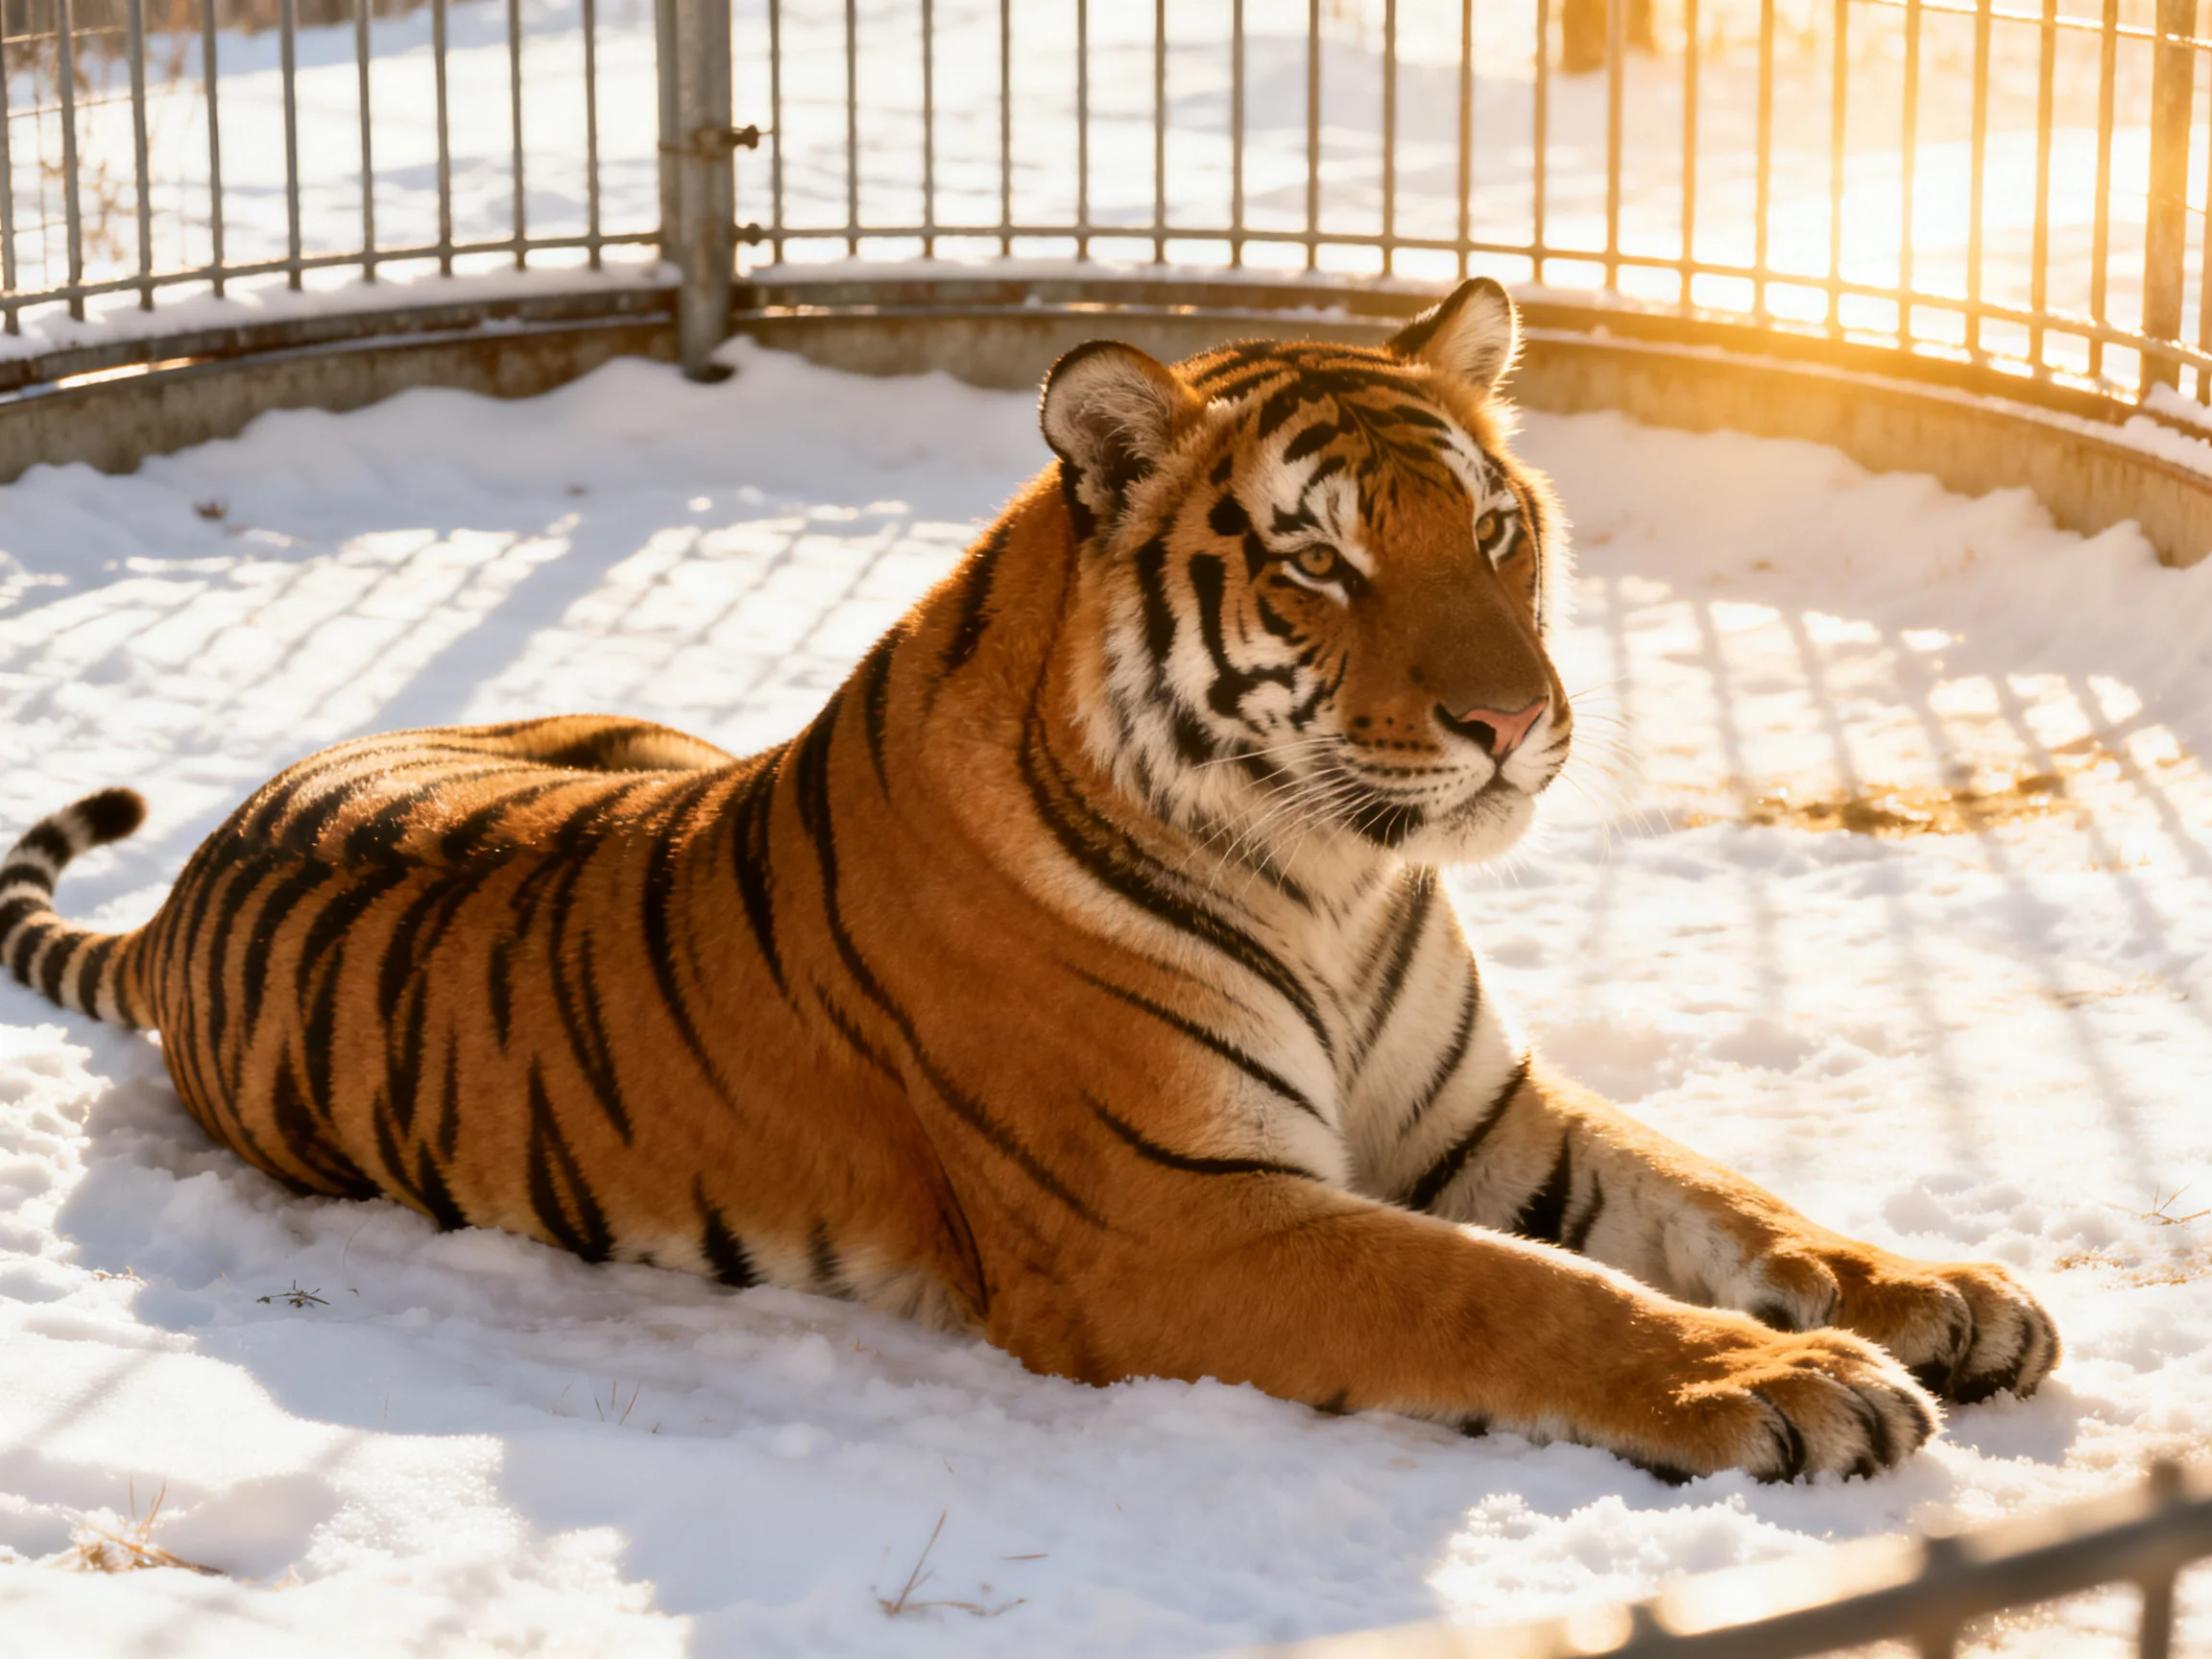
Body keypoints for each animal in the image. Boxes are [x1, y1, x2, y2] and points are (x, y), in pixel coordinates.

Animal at [2, 278, 2056, 1482]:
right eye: (1317, 567)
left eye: (1487, 528)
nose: (1507, 720)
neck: (1342, 880)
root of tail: (198, 878)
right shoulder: (1173, 1218)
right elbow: (1515, 1296)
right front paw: (1779, 1383)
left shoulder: (1486, 1115)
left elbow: (1720, 1195)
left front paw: (1936, 1292)